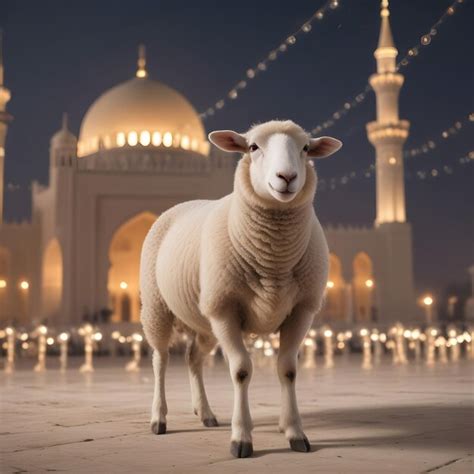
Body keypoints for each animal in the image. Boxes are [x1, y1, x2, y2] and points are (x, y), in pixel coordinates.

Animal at [139, 120, 342, 458]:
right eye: (252, 147)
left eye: (305, 148)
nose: (287, 177)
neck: (274, 260)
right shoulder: (225, 310)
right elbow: (241, 371)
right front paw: (241, 438)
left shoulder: (302, 309)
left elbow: (288, 369)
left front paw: (294, 432)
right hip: (157, 307)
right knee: (160, 360)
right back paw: (158, 418)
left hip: (204, 318)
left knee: (193, 358)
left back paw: (206, 413)